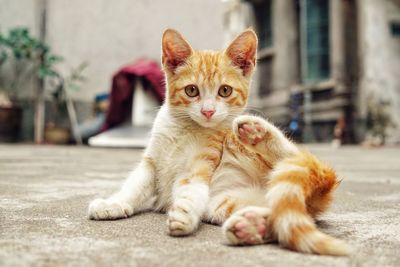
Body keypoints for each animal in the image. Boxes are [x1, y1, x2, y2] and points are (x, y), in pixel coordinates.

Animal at [88, 28, 350, 256]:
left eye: (225, 91)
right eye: (192, 90)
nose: (208, 111)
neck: (184, 129)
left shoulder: (200, 164)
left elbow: (191, 188)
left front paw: (184, 214)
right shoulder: (151, 162)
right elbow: (134, 186)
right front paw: (113, 204)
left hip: (241, 148)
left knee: (292, 156)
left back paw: (256, 132)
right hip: (225, 202)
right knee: (279, 216)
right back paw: (252, 227)